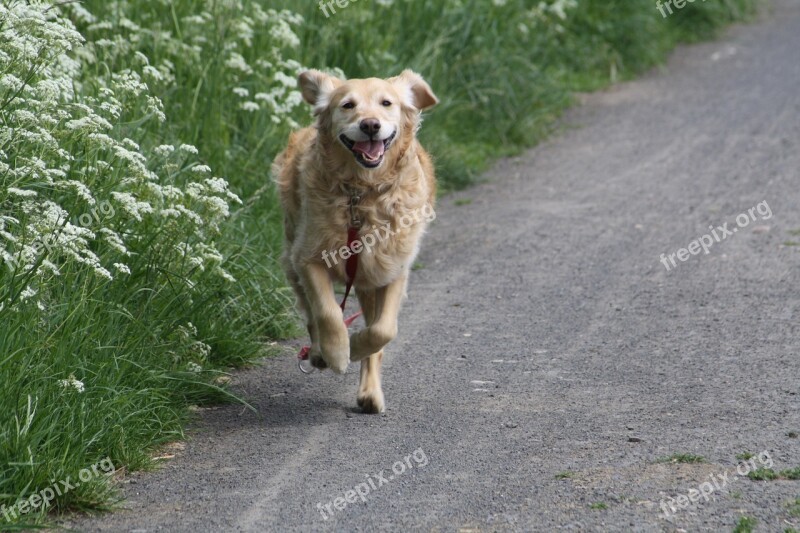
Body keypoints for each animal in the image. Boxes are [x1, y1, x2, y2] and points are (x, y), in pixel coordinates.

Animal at [274, 69, 438, 412]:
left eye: (386, 103)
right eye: (347, 105)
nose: (370, 125)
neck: (361, 194)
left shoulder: (392, 268)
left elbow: (383, 331)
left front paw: (357, 346)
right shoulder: (307, 258)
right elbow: (327, 312)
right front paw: (337, 352)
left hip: (367, 280)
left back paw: (369, 393)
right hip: (292, 257)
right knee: (311, 315)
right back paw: (319, 353)